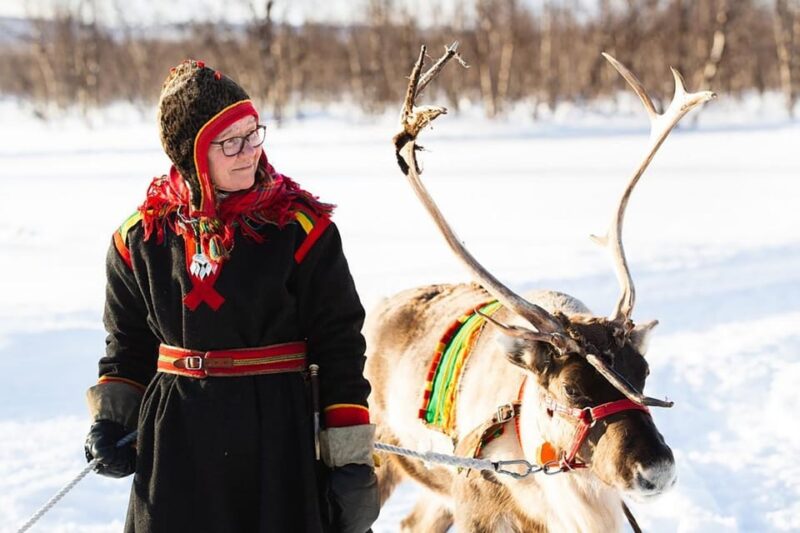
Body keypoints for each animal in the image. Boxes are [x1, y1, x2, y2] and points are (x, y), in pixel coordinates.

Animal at [364, 44, 715, 533]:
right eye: (571, 390)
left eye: (644, 371)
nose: (657, 473)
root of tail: (378, 308)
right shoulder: (477, 506)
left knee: (413, 521)